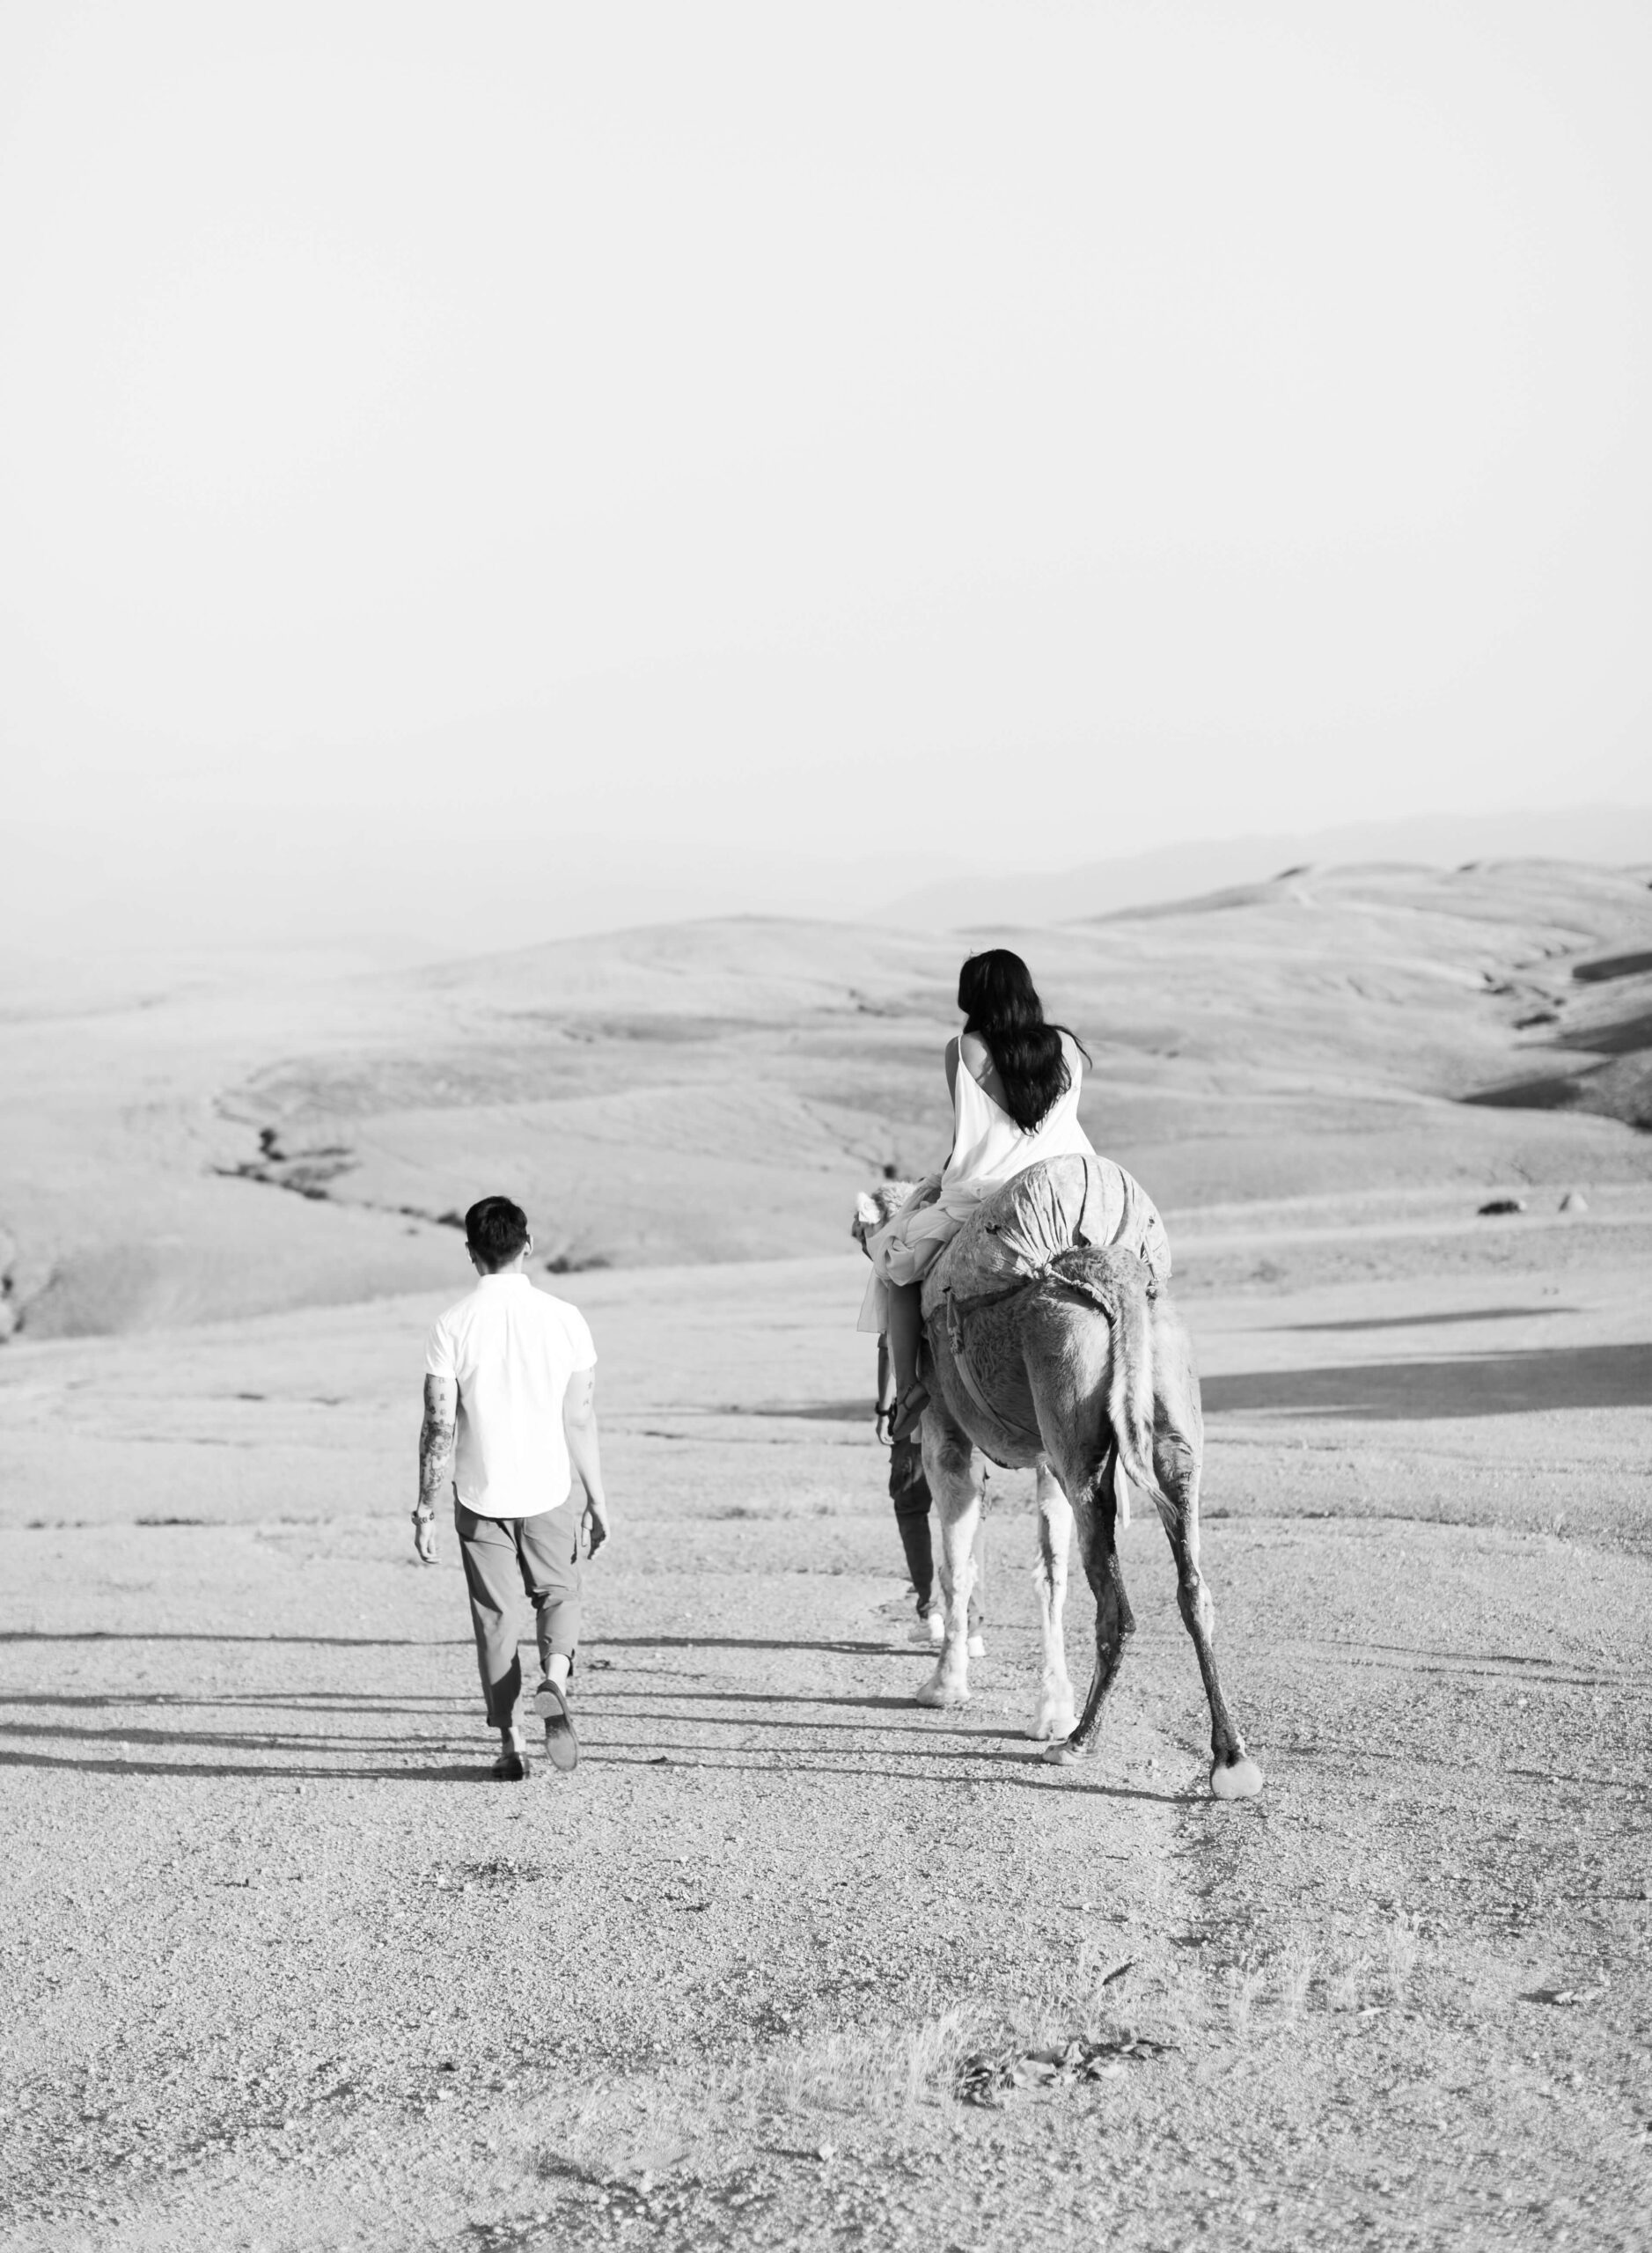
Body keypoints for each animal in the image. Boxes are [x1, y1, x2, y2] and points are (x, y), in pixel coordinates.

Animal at [910, 1153, 1252, 1802]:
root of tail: (1115, 1277)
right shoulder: (1047, 1457)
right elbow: (1050, 1575)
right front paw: (1050, 1707)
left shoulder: (945, 1435)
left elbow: (957, 1564)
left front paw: (944, 1686)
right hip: (1166, 1421)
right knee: (1194, 1588)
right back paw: (1231, 1759)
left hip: (1072, 1408)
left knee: (1116, 1603)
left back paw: (1078, 1741)